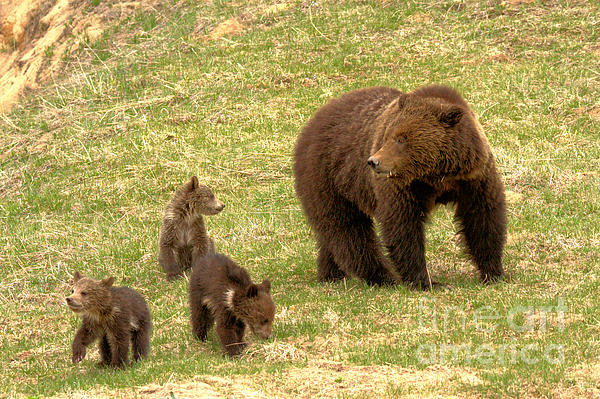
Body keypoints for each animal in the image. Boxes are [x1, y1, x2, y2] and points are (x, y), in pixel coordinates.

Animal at [294, 86, 506, 290]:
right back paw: (382, 276)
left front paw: (495, 273)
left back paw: (331, 273)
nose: (373, 161)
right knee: (348, 229)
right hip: (327, 177)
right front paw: (426, 281)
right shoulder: (403, 188)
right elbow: (403, 226)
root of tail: (313, 122)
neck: (436, 175)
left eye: (401, 139)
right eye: (389, 135)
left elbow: (483, 218)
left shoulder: (474, 180)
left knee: (334, 234)